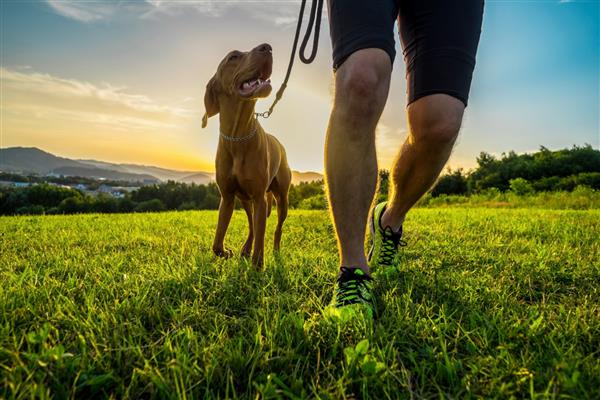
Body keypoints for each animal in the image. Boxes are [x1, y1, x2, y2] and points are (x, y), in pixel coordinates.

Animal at [203, 43, 292, 268]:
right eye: (233, 57)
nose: (267, 47)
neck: (238, 136)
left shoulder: (260, 197)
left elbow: (261, 238)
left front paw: (257, 265)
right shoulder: (227, 197)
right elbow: (217, 242)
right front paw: (227, 252)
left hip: (281, 198)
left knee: (276, 227)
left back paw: (275, 250)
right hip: (245, 200)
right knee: (252, 224)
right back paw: (245, 249)